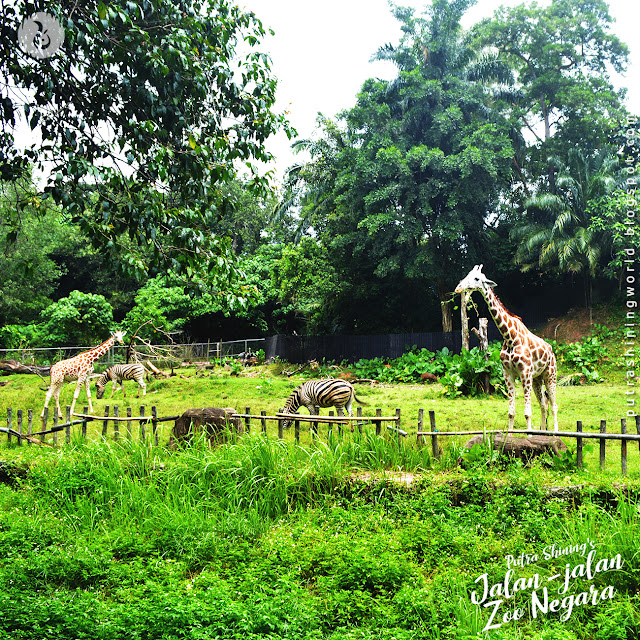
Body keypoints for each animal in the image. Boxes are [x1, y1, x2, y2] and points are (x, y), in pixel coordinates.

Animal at [452, 264, 556, 430]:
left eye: (476, 278)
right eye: (467, 275)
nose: (458, 288)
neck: (510, 337)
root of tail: (551, 351)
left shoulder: (525, 373)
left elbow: (527, 413)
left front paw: (529, 434)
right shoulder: (508, 374)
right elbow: (511, 412)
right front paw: (511, 434)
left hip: (550, 375)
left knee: (553, 406)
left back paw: (554, 433)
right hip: (537, 379)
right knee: (543, 405)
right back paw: (543, 432)